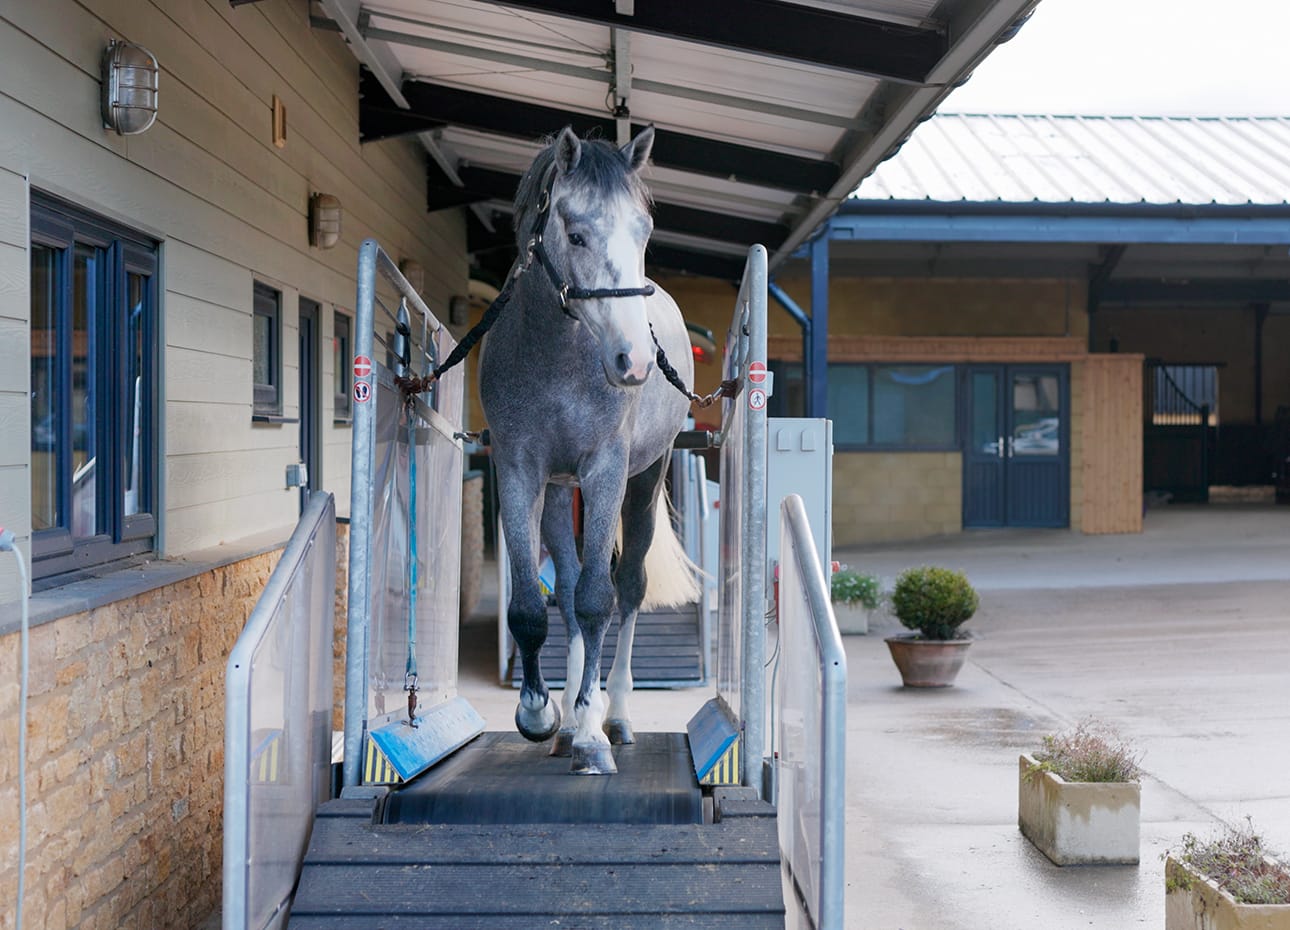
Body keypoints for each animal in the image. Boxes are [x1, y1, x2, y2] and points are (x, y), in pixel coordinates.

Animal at [482, 125, 701, 773]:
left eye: (645, 232)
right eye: (576, 233)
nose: (635, 361)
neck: (558, 356)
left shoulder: (606, 471)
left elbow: (599, 599)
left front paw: (592, 733)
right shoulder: (519, 471)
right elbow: (533, 604)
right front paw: (540, 713)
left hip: (644, 482)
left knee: (626, 587)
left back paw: (616, 714)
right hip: (560, 493)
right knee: (569, 585)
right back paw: (572, 717)